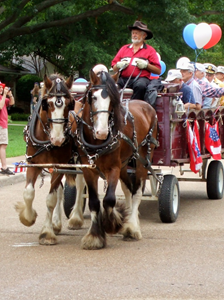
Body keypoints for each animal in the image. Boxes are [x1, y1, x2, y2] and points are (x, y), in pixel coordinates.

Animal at [68, 69, 158, 248]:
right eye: (93, 97)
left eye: (112, 100)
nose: (102, 132)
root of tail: (146, 105)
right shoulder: (89, 169)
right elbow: (94, 201)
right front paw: (94, 236)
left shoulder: (113, 168)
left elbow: (109, 199)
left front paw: (111, 224)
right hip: (124, 164)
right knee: (128, 189)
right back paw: (128, 221)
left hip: (143, 158)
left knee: (137, 191)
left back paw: (132, 227)